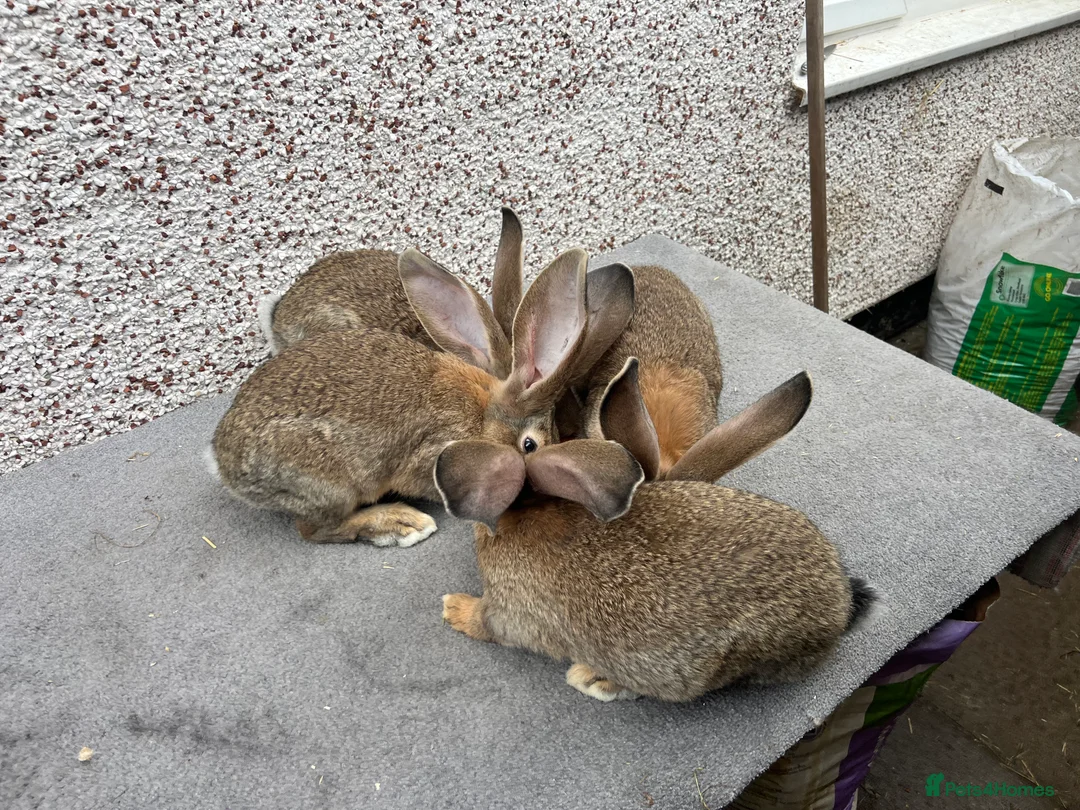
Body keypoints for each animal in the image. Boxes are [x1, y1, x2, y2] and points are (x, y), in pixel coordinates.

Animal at [212, 245, 636, 547]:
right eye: (529, 445)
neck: (484, 411)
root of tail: (221, 461)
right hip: (330, 484)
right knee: (313, 529)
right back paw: (400, 524)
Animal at [434, 359, 877, 702]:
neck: (533, 512)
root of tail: (838, 609)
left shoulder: (512, 613)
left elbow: (490, 625)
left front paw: (455, 608)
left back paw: (593, 677)